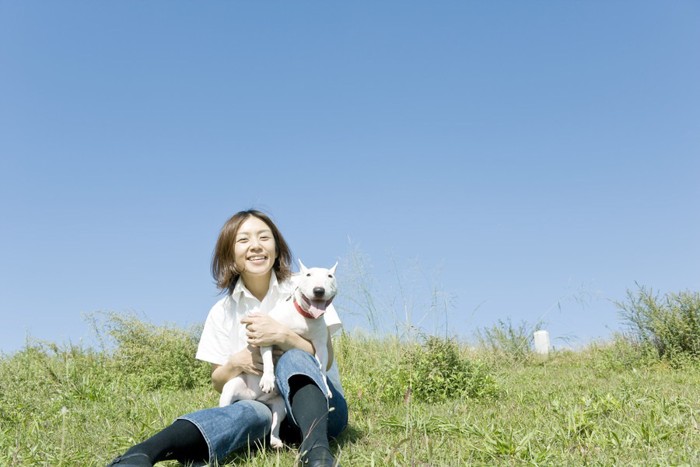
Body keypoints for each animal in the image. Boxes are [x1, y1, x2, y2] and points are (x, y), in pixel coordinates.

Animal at [220, 262, 338, 448]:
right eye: (308, 275)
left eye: (330, 276)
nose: (319, 290)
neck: (304, 316)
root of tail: (256, 398)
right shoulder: (266, 335)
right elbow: (268, 361)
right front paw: (268, 380)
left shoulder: (320, 345)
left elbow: (322, 368)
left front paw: (325, 386)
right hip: (231, 388)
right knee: (225, 405)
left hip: (280, 405)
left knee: (275, 423)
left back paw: (276, 441)